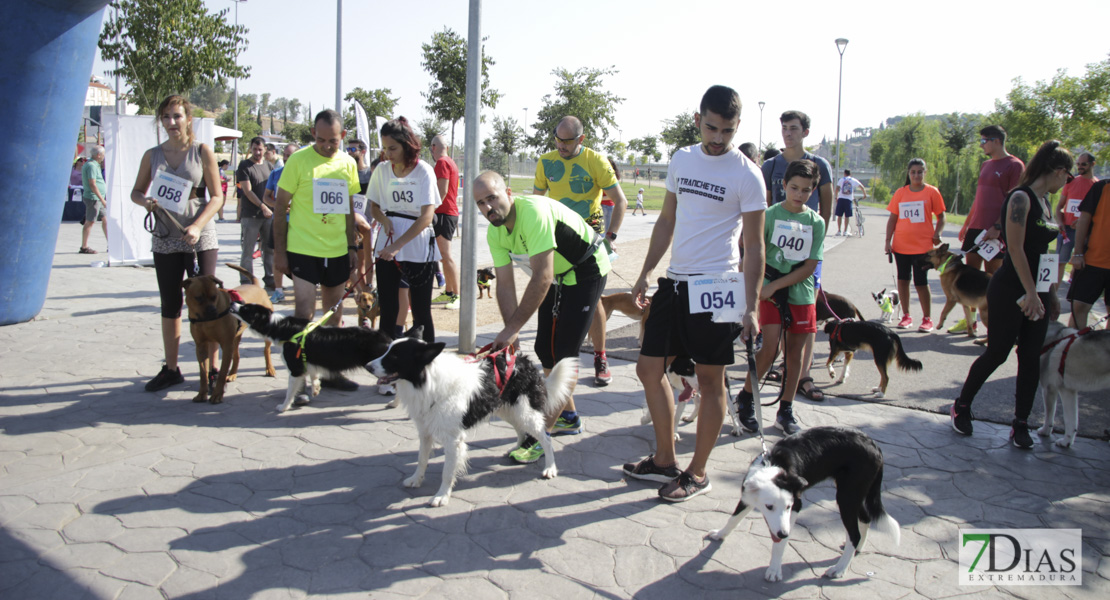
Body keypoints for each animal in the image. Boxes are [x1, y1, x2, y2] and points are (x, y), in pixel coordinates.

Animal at [183, 261, 276, 401]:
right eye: (198, 298)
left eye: (214, 296)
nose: (212, 311)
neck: (207, 321)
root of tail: (256, 286)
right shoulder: (201, 346)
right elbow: (203, 373)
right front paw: (202, 394)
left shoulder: (226, 345)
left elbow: (222, 372)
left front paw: (217, 395)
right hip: (236, 337)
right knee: (236, 355)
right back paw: (232, 374)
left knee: (266, 350)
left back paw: (269, 369)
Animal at [229, 301, 395, 410]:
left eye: (245, 308)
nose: (232, 303)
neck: (278, 326)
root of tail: (387, 338)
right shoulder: (308, 362)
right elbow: (314, 374)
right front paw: (316, 388)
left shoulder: (295, 368)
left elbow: (290, 391)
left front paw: (283, 407)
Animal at [368, 334, 577, 507]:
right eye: (387, 350)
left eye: (394, 356)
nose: (368, 366)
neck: (428, 382)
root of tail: (524, 361)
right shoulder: (425, 431)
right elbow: (421, 460)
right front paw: (415, 480)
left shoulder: (453, 440)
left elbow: (447, 471)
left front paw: (441, 496)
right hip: (508, 410)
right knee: (520, 430)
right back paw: (517, 448)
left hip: (526, 413)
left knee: (546, 439)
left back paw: (550, 468)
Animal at [710, 425, 901, 581]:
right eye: (769, 507)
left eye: (787, 507)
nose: (783, 533)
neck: (771, 468)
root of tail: (874, 445)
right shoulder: (747, 497)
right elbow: (733, 519)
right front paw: (720, 534)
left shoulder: (796, 505)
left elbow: (779, 545)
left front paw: (774, 570)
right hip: (854, 494)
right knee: (866, 519)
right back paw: (857, 550)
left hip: (847, 495)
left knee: (855, 534)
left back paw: (839, 569)